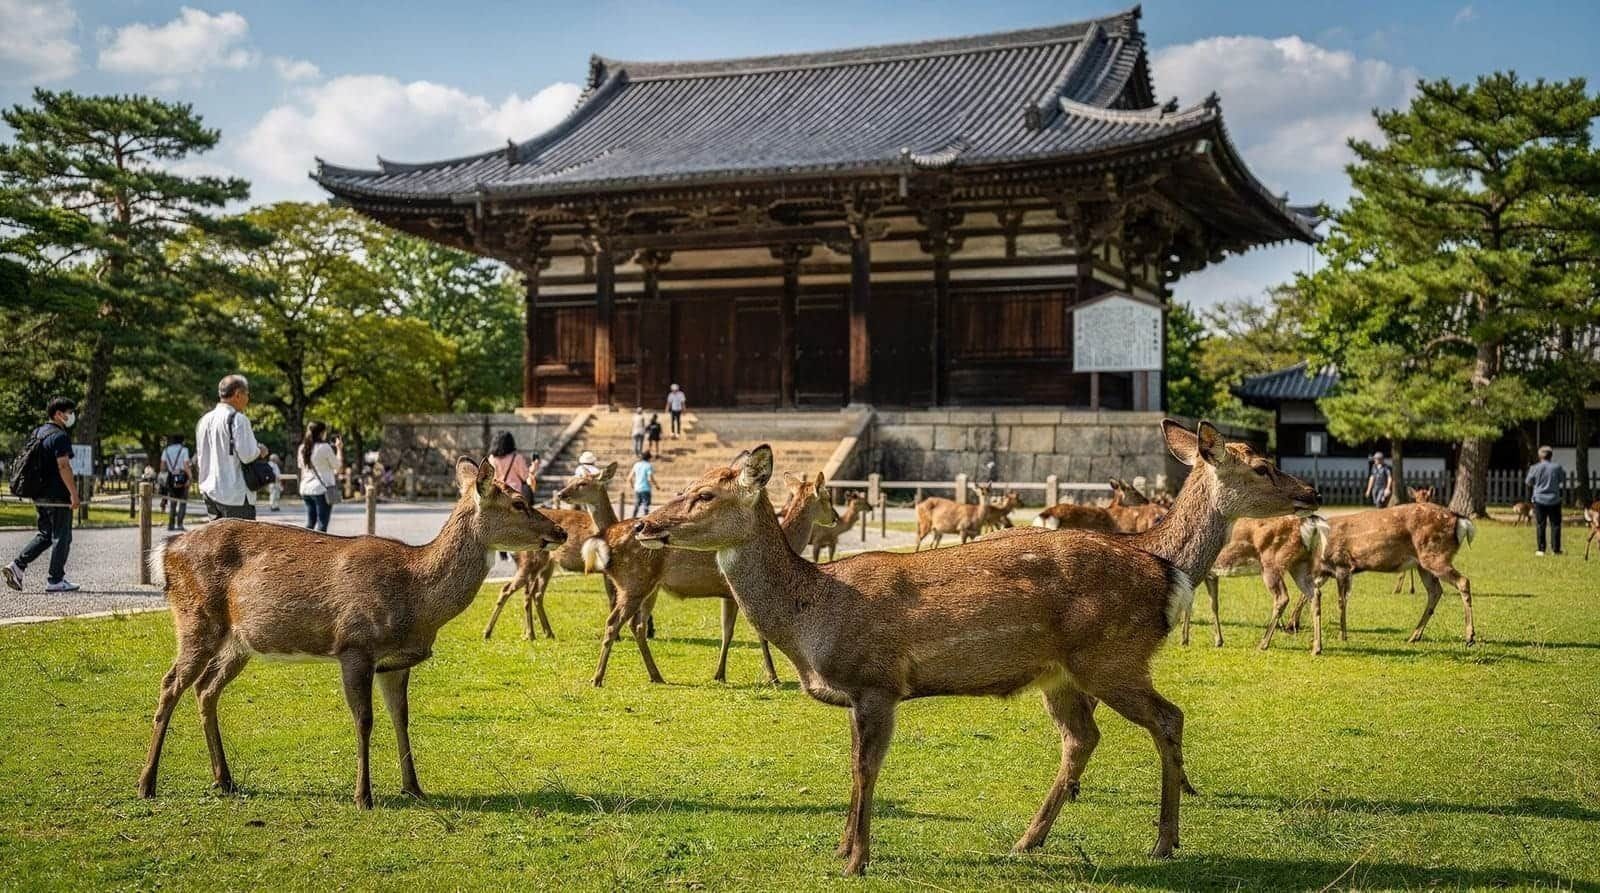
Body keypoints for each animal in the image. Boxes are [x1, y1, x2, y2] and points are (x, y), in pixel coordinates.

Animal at [137, 457, 566, 808]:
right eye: (519, 503)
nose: (561, 531)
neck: (416, 598)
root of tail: (164, 551)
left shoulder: (395, 662)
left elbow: (401, 717)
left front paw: (414, 788)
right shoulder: (355, 645)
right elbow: (365, 720)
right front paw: (364, 796)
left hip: (239, 642)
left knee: (205, 689)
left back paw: (224, 780)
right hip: (195, 619)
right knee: (170, 683)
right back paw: (147, 783)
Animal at [481, 461, 620, 642]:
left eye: (582, 483)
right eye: (570, 480)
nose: (561, 494)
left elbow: (613, 597)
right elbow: (612, 598)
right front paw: (616, 636)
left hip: (547, 565)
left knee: (535, 594)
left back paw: (545, 632)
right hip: (530, 561)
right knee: (512, 590)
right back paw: (497, 632)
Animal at [580, 471, 838, 687]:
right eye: (827, 497)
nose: (835, 517)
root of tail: (603, 539)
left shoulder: (729, 594)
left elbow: (727, 631)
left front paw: (720, 674)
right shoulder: (736, 592)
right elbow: (751, 634)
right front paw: (772, 677)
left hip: (648, 586)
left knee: (637, 625)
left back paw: (656, 675)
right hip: (633, 582)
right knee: (613, 622)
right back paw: (597, 678)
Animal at [631, 421, 1320, 874]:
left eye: (706, 494)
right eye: (689, 486)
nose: (645, 523)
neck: (812, 617)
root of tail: (1166, 573)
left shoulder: (878, 681)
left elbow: (866, 768)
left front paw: (855, 859)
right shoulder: (861, 692)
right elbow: (854, 768)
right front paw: (842, 849)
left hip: (1112, 656)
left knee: (1168, 717)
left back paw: (1163, 842)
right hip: (1063, 675)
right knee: (1085, 737)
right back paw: (1028, 841)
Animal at [1312, 502, 1476, 646]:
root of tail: (1461, 522)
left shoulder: (1341, 565)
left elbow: (1341, 602)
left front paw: (1342, 636)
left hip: (1435, 555)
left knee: (1463, 581)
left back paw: (1470, 637)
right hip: (1423, 564)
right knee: (1435, 591)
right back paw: (1414, 636)